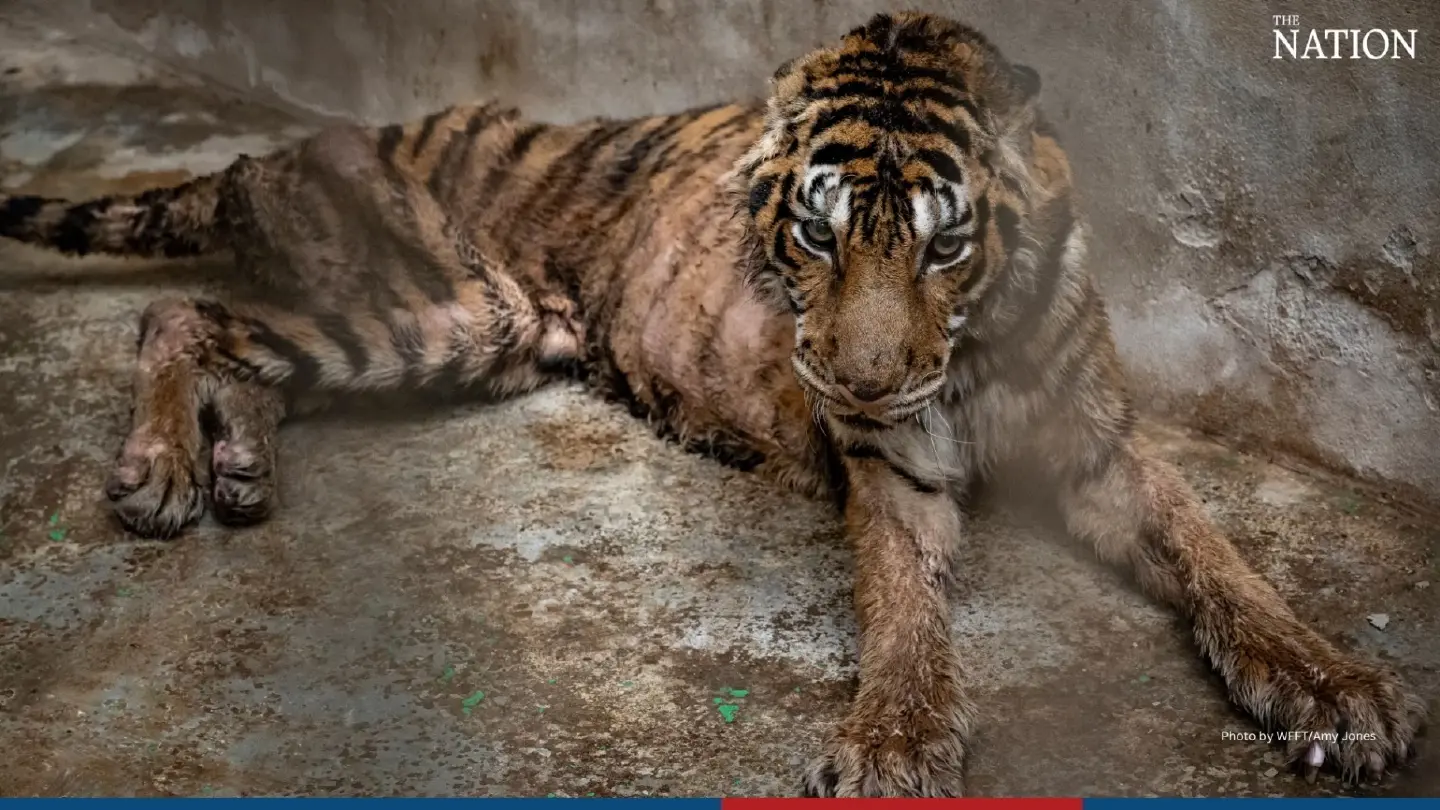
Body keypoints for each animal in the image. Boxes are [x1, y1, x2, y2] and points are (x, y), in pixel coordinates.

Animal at [0, 11, 1424, 797]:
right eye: (818, 233)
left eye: (944, 243)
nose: (856, 379)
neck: (974, 347)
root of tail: (275, 147)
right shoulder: (895, 467)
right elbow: (906, 607)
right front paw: (897, 745)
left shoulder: (1101, 444)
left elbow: (1219, 560)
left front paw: (1340, 691)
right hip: (454, 298)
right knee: (180, 315)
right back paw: (164, 474)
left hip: (467, 328)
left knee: (235, 341)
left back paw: (235, 467)